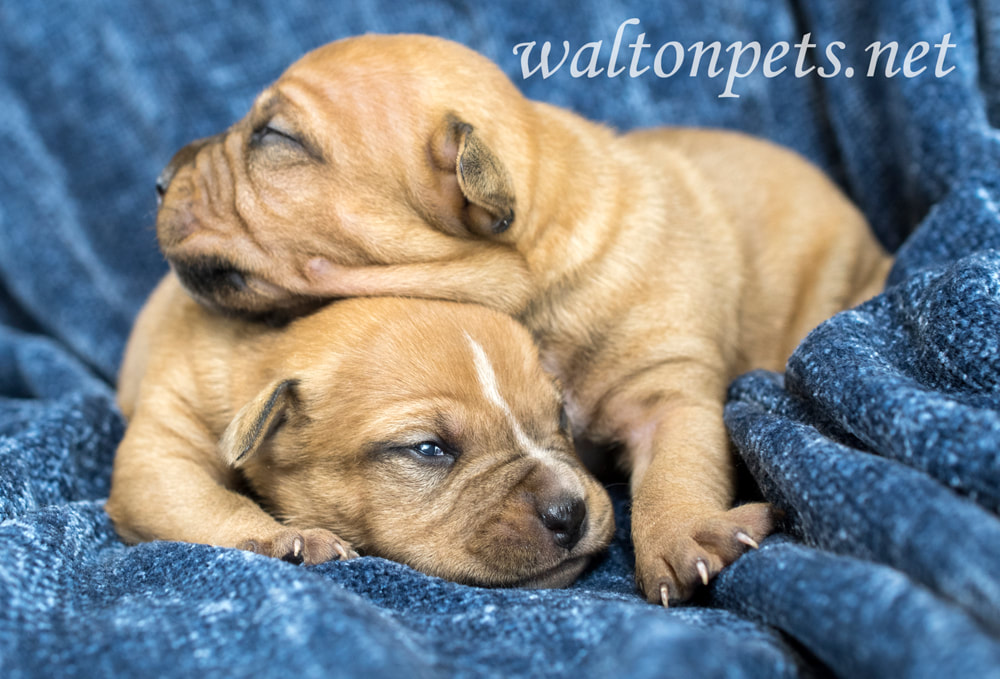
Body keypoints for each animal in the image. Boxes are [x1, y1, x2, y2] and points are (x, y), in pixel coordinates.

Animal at [105, 274, 612, 588]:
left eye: (561, 419)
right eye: (428, 448)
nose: (569, 512)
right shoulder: (160, 453)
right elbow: (210, 500)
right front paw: (285, 538)